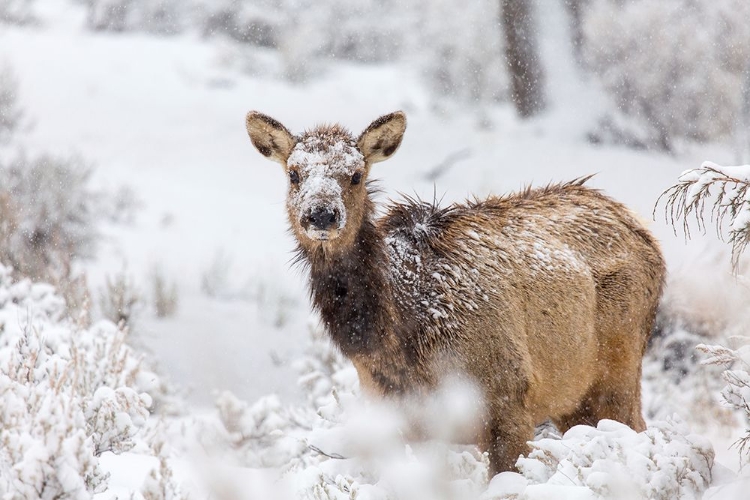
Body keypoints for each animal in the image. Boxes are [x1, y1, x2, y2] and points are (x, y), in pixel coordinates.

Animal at [244, 111, 668, 474]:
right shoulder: (400, 420)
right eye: (294, 173)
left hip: (618, 368)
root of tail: (641, 228)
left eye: (356, 174)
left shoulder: (510, 398)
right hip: (573, 398)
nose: (321, 214)